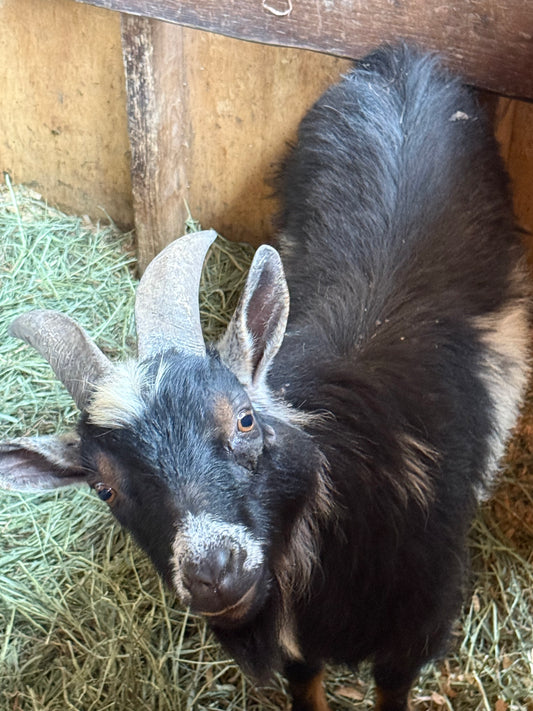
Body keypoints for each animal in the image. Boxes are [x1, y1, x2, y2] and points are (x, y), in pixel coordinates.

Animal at [1, 44, 530, 711]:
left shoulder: (413, 633)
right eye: (102, 488)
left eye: (247, 420)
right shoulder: (298, 647)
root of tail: (399, 57)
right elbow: (307, 685)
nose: (213, 572)